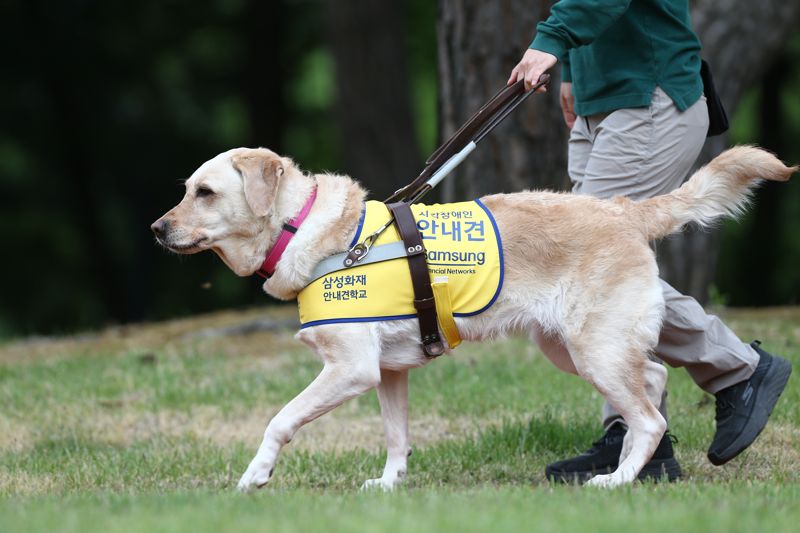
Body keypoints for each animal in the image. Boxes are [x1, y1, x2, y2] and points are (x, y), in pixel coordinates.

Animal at [152, 143, 792, 488]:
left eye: (205, 193)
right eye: (186, 189)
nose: (156, 229)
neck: (305, 229)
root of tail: (622, 210)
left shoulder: (350, 370)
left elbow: (279, 421)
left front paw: (254, 476)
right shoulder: (388, 374)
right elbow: (396, 437)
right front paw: (388, 485)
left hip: (595, 350)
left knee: (650, 415)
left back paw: (617, 480)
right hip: (572, 347)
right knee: (653, 382)